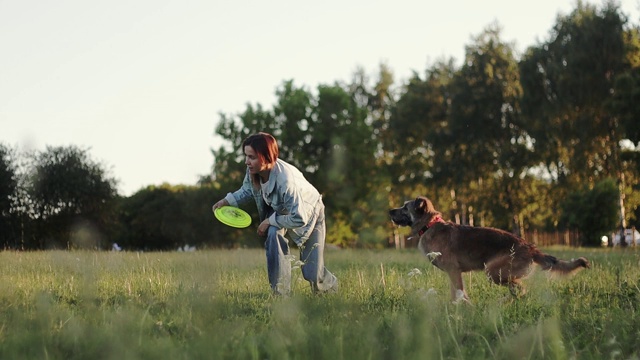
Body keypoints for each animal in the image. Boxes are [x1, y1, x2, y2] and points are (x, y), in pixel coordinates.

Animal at [388, 197, 588, 300]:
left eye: (405, 207)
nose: (390, 210)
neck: (429, 225)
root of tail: (531, 248)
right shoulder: (453, 274)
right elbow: (456, 293)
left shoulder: (454, 271)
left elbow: (459, 294)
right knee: (519, 289)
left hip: (492, 271)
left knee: (520, 288)